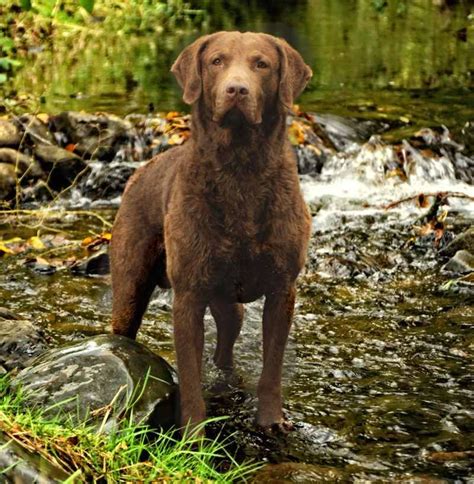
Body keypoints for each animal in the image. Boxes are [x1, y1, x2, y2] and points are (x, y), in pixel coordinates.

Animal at [109, 30, 312, 432]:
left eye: (262, 64)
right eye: (216, 61)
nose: (237, 89)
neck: (241, 172)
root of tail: (142, 169)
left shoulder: (283, 289)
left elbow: (272, 369)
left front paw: (271, 421)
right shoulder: (188, 295)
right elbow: (189, 375)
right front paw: (193, 434)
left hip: (225, 297)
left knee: (230, 332)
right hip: (130, 282)